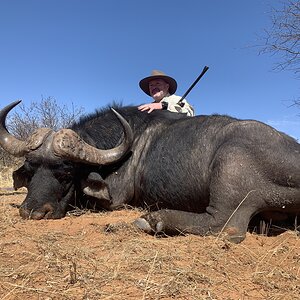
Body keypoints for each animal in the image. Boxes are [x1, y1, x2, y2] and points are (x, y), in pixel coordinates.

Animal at [0, 101, 300, 244]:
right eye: (31, 170)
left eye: (65, 173)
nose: (32, 212)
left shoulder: (116, 200)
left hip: (230, 168)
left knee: (227, 226)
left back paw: (153, 220)